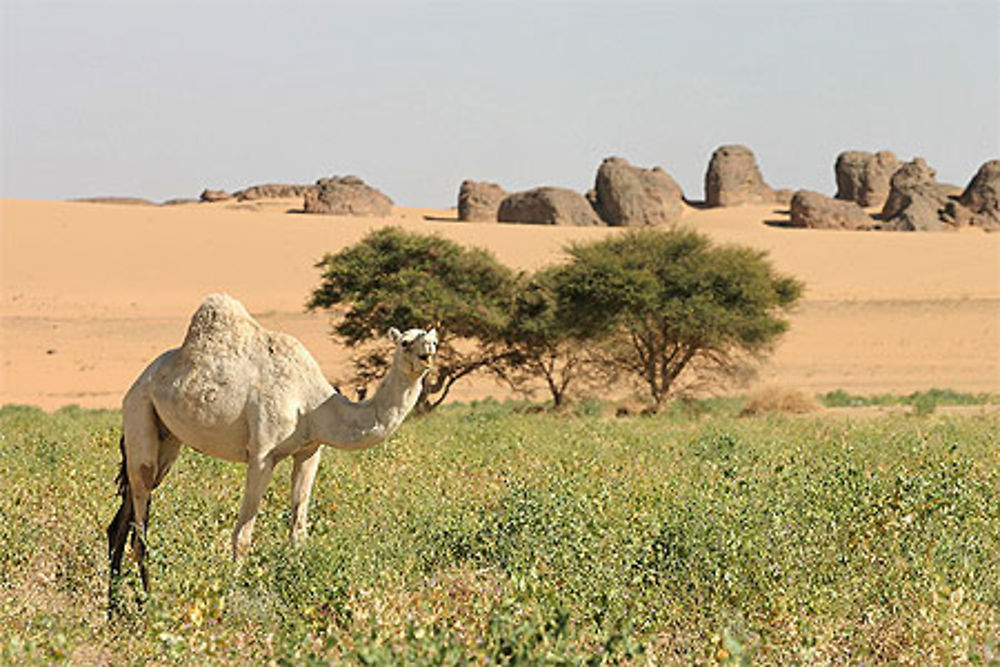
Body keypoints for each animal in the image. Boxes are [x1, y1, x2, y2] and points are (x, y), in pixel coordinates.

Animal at [106, 294, 438, 596]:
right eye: (405, 342)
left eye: (432, 338)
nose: (430, 350)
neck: (312, 404)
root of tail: (138, 383)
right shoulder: (262, 455)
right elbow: (242, 535)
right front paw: (234, 592)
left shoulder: (310, 451)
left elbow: (298, 529)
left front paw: (297, 580)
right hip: (140, 410)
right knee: (139, 526)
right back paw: (146, 603)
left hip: (166, 439)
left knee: (121, 523)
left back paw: (115, 608)